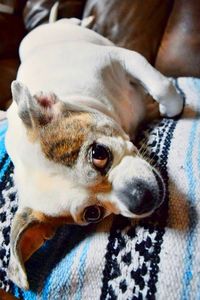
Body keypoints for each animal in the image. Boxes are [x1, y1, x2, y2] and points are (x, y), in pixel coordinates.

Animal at [4, 15, 184, 290]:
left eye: (99, 153)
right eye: (92, 214)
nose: (139, 199)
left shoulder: (120, 57)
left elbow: (163, 88)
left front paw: (171, 103)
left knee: (72, 21)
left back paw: (84, 20)